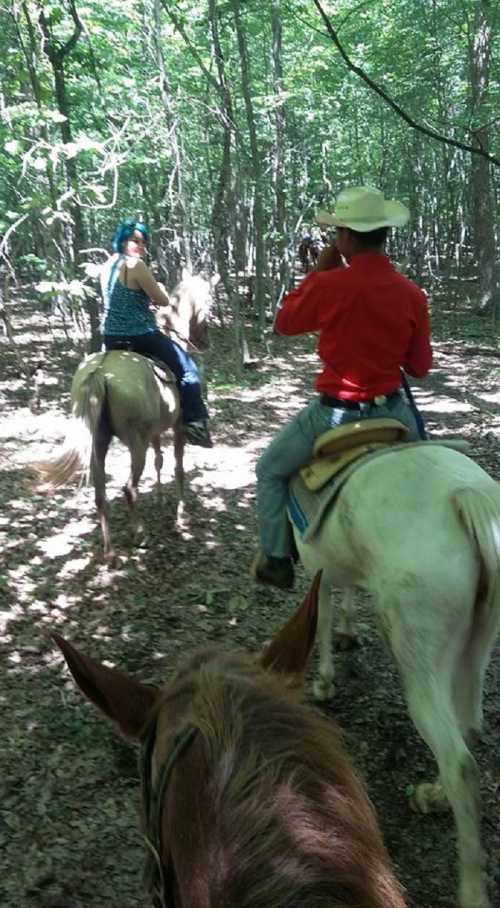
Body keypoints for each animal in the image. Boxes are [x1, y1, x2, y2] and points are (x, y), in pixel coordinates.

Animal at [32, 270, 214, 560]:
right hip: (135, 442)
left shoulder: (155, 430)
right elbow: (178, 468)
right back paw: (140, 535)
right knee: (129, 489)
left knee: (100, 494)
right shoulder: (176, 428)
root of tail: (100, 370)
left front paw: (160, 498)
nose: (204, 342)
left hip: (98, 440)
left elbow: (160, 461)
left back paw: (110, 553)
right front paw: (181, 517)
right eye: (209, 302)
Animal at [292, 444, 500, 908]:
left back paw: (470, 890)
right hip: (478, 640)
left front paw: (324, 682)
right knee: (469, 727)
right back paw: (433, 796)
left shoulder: (318, 567)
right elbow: (347, 596)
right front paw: (349, 632)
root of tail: (465, 495)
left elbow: (322, 615)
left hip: (419, 656)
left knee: (459, 761)